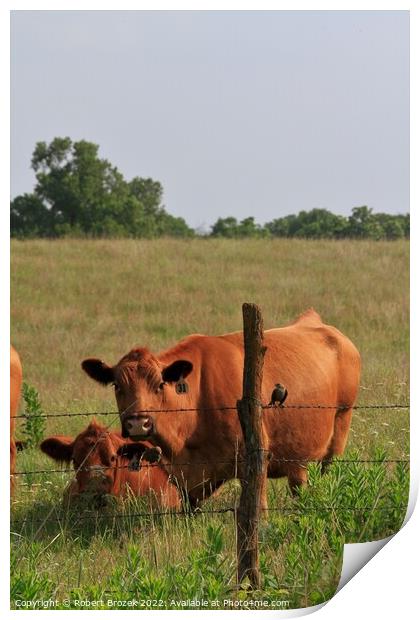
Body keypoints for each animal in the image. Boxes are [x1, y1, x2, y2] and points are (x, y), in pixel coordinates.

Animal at [82, 310, 360, 508]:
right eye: (117, 385)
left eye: (160, 384)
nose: (138, 424)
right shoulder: (181, 476)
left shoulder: (254, 459)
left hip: (338, 435)